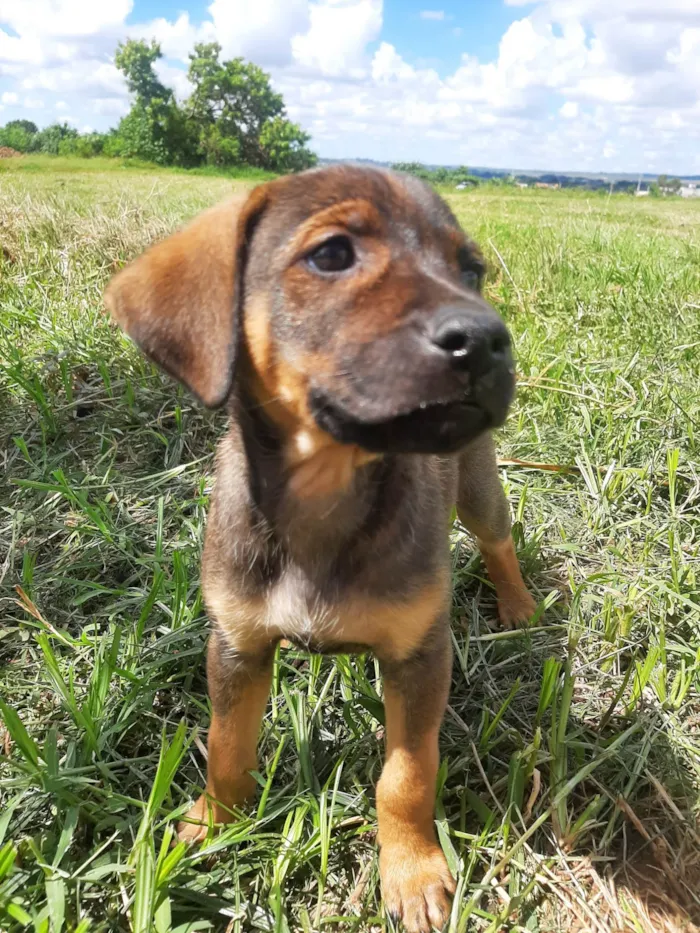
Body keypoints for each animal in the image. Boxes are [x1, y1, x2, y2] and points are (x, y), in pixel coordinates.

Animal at [105, 164, 536, 928]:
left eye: (471, 271)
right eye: (333, 254)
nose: (488, 340)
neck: (324, 495)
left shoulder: (422, 654)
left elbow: (407, 773)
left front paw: (412, 871)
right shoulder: (237, 645)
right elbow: (227, 745)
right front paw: (212, 824)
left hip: (481, 487)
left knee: (498, 540)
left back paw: (516, 604)